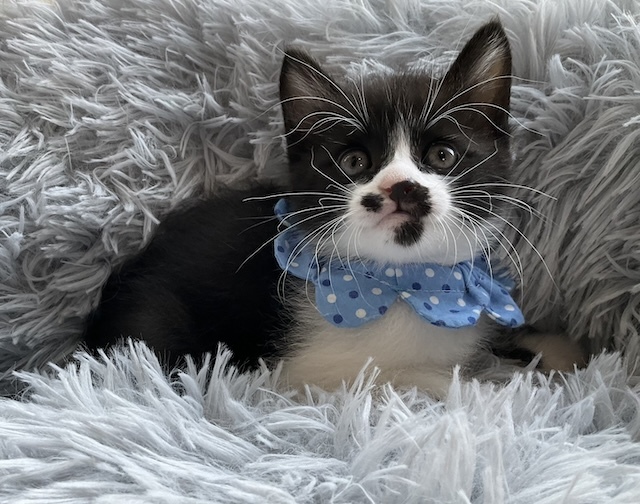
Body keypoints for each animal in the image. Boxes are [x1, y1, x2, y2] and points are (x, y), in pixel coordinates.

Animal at [84, 20, 582, 398]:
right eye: (355, 162)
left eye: (442, 155)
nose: (402, 187)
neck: (407, 285)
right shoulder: (300, 374)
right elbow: (411, 376)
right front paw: (492, 384)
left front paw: (555, 349)